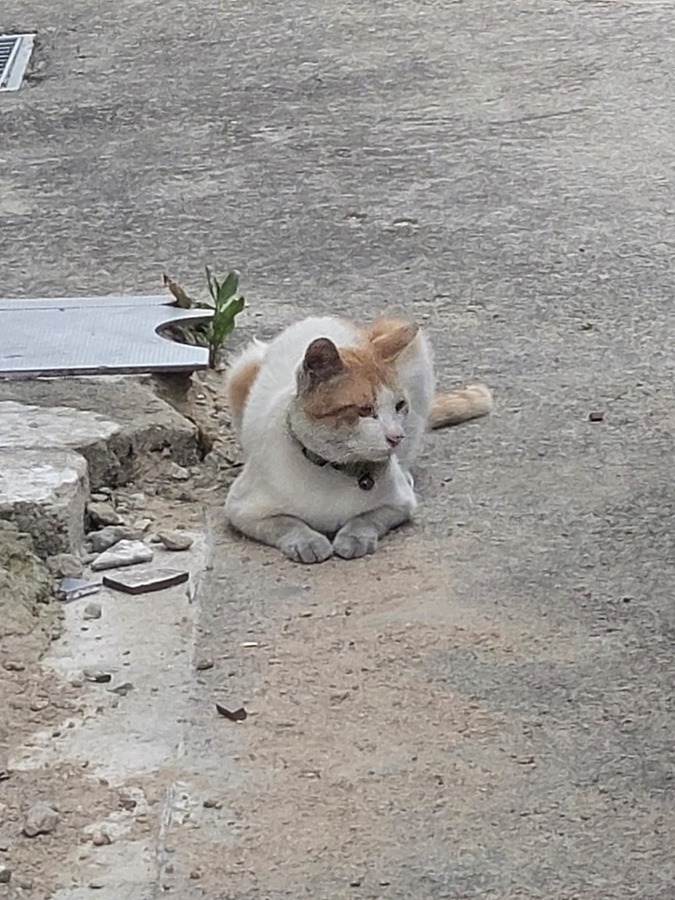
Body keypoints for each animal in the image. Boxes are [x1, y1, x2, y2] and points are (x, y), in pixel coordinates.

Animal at [224, 316, 494, 564]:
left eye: (399, 405)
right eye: (364, 410)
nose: (396, 437)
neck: (331, 470)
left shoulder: (400, 504)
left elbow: (367, 518)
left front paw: (354, 537)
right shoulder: (241, 509)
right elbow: (286, 522)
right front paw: (307, 541)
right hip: (240, 370)